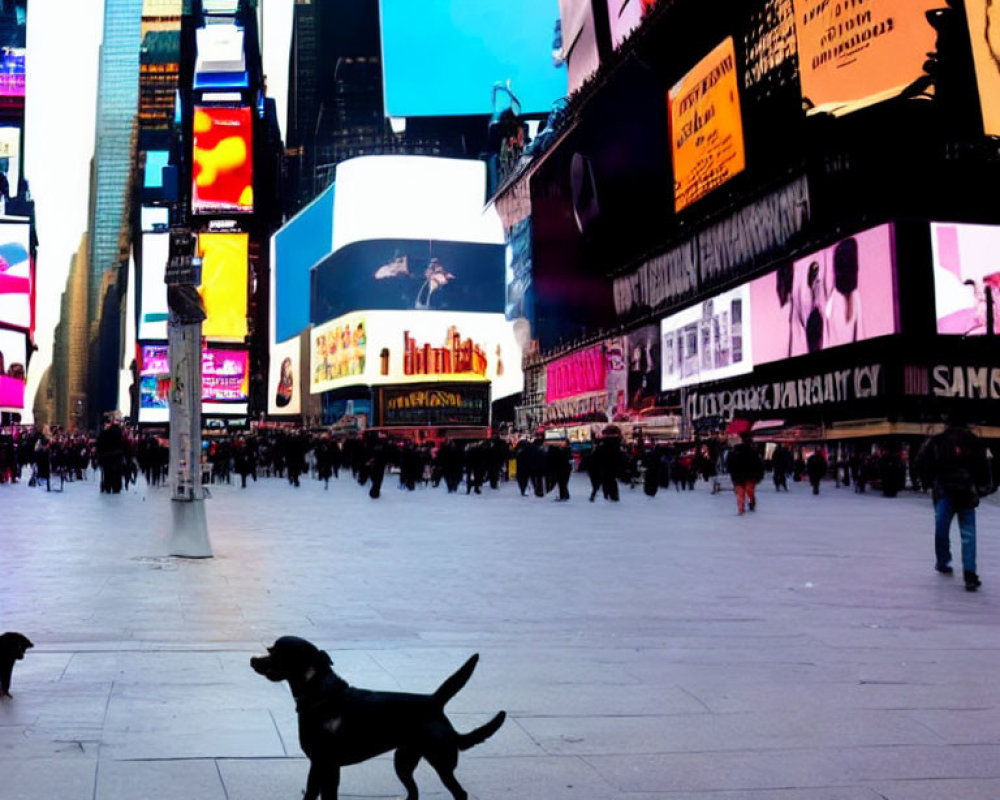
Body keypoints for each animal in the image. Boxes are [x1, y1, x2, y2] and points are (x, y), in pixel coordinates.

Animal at [250, 636, 500, 800]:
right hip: (403, 761)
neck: (321, 692)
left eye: (273, 652)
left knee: (460, 793)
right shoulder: (327, 767)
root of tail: (434, 701)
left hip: (440, 763)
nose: (252, 660)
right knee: (414, 792)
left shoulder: (323, 764)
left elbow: (316, 797)